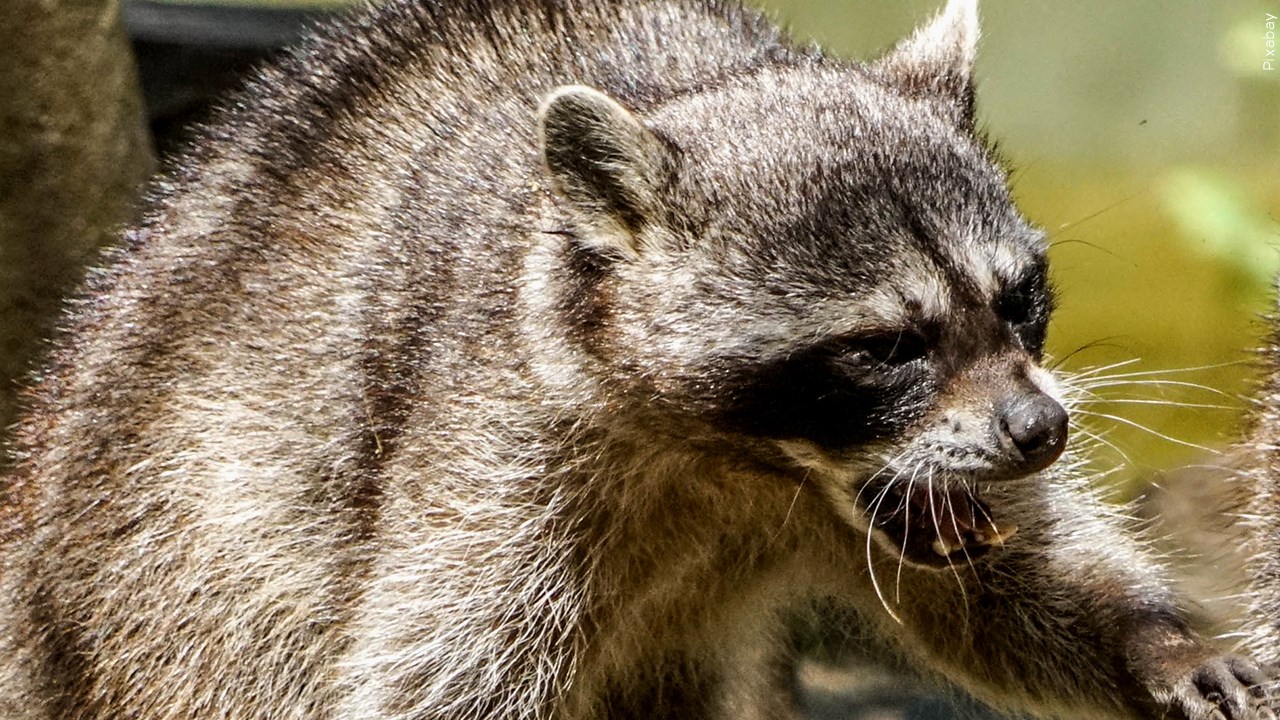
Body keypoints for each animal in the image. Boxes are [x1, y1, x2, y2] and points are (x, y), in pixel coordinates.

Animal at [0, 0, 1272, 718]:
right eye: (879, 347)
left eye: (1018, 301)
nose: (1039, 432)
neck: (744, 467)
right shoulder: (493, 450)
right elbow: (434, 672)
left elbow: (1011, 588)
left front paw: (1151, 634)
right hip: (177, 566)